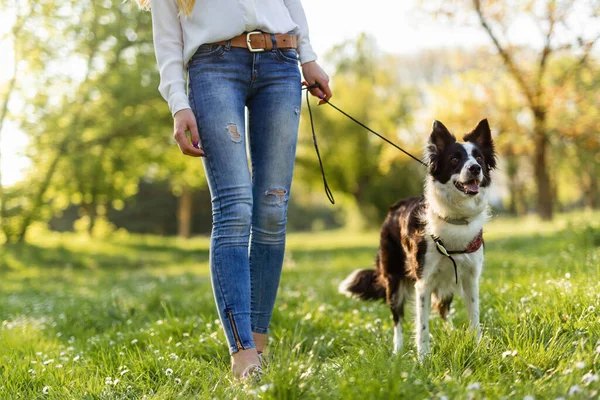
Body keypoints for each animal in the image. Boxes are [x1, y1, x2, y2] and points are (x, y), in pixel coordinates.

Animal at [338, 119, 496, 360]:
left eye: (479, 158)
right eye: (454, 159)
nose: (475, 169)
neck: (455, 218)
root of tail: (393, 209)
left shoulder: (470, 278)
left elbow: (474, 318)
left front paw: (477, 348)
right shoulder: (423, 282)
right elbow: (422, 326)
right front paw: (424, 359)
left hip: (447, 282)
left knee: (443, 309)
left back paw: (450, 334)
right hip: (394, 281)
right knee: (398, 321)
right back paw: (397, 351)